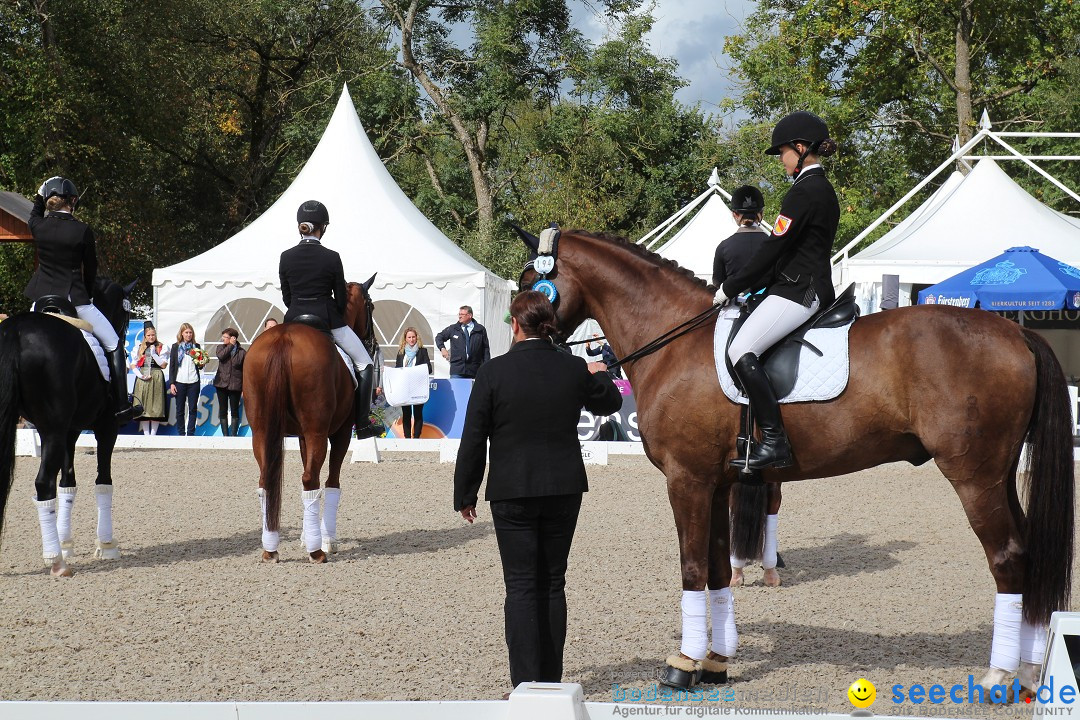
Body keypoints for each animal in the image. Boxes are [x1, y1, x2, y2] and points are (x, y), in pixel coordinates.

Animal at [0, 278, 138, 578]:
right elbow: (103, 481)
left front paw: (66, 543)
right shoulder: (107, 428)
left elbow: (67, 484)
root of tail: (16, 331)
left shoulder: (70, 431)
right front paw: (106, 544)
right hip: (53, 429)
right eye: (126, 315)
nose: (124, 342)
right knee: (43, 483)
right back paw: (56, 563)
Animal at [243, 278, 378, 565]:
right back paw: (317, 551)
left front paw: (307, 534)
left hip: (262, 431)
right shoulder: (338, 433)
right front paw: (327, 540)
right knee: (310, 480)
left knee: (267, 480)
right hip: (319, 431)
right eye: (370, 306)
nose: (371, 343)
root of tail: (283, 338)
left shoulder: (303, 435)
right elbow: (332, 482)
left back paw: (270, 549)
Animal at [516, 227, 1071, 695]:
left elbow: (692, 567)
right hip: (999, 476)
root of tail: (1015, 333)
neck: (675, 341)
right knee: (1027, 553)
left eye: (530, 282)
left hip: (974, 476)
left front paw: (683, 665)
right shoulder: (717, 484)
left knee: (1007, 557)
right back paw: (1026, 672)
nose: (522, 331)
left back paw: (998, 677)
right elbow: (717, 568)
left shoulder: (686, 479)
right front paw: (717, 661)